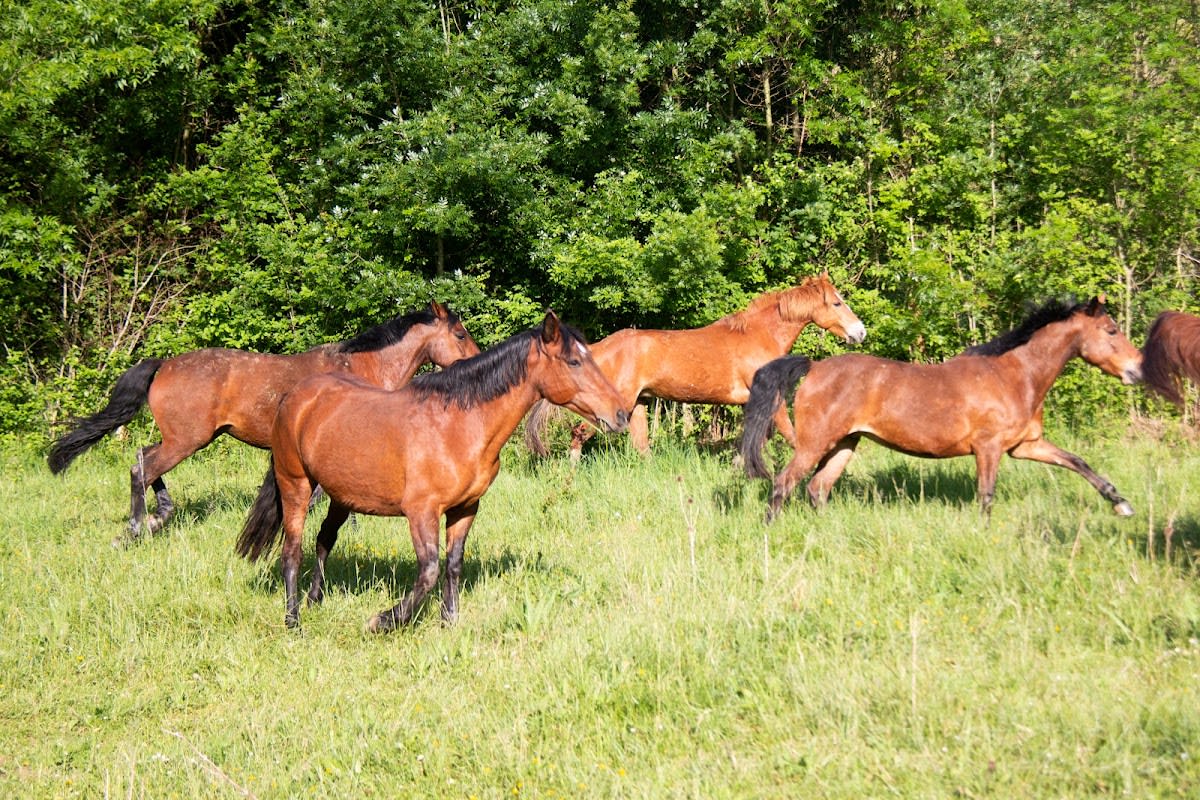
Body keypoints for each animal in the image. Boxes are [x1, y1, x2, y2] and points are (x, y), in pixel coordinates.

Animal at [48, 301, 479, 539]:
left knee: (143, 459)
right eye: (459, 333)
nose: (476, 359)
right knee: (143, 469)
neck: (361, 366)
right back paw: (138, 527)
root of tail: (164, 365)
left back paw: (160, 516)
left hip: (181, 439)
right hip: (185, 440)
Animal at [236, 311, 629, 631]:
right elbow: (428, 571)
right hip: (297, 486)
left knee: (323, 540)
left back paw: (315, 600)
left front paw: (449, 622)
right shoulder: (421, 512)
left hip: (341, 496)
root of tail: (295, 397)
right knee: (292, 551)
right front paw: (383, 621)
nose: (621, 413)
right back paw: (293, 621)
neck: (458, 425)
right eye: (574, 361)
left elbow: (453, 564)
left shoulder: (465, 508)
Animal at [524, 272, 867, 460]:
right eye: (836, 302)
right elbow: (790, 436)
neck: (758, 336)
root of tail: (598, 348)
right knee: (579, 434)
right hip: (613, 407)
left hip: (638, 406)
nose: (860, 332)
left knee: (641, 446)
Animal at [741, 297, 1143, 522]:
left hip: (845, 443)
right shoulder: (988, 448)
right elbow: (986, 496)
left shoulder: (1025, 446)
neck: (1014, 376)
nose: (1137, 369)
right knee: (784, 484)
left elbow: (1079, 462)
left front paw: (1121, 504)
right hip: (814, 443)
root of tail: (815, 367)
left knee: (817, 488)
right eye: (1111, 330)